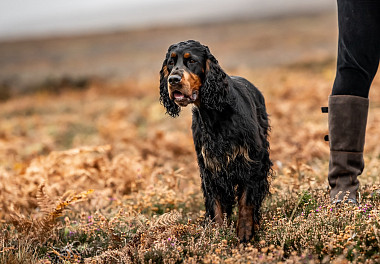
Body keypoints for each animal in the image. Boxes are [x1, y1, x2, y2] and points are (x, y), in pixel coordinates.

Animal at [159, 39, 272, 241]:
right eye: (171, 63)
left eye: (192, 61)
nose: (173, 80)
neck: (215, 113)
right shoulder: (210, 167)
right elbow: (216, 205)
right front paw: (216, 235)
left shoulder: (252, 161)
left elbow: (246, 201)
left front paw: (244, 234)